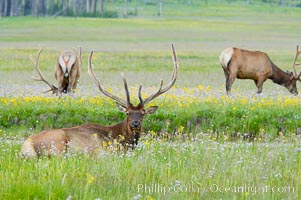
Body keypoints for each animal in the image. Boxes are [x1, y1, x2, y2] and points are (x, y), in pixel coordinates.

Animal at [21, 44, 178, 159]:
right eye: (127, 113)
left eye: (143, 113)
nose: (135, 123)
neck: (122, 140)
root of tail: (27, 146)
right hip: (58, 145)